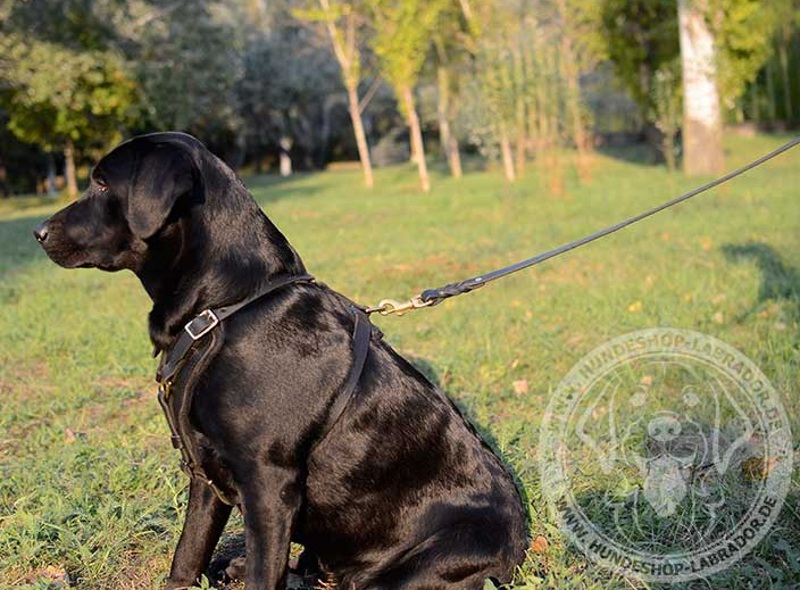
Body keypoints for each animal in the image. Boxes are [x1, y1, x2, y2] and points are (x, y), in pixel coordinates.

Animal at [34, 134, 528, 590]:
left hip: (426, 560)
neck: (225, 308)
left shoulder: (269, 485)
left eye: (101, 184)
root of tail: (518, 547)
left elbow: (260, 572)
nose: (38, 232)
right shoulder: (206, 474)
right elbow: (188, 553)